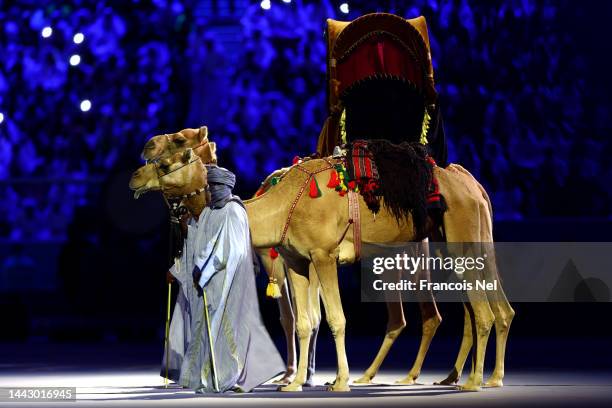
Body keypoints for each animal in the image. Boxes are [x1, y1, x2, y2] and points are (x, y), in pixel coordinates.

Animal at [130, 147, 516, 392]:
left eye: (165, 163)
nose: (134, 175)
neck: (281, 205)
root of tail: (472, 185)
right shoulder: (298, 261)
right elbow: (304, 323)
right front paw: (295, 384)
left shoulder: (324, 255)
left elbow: (335, 319)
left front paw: (339, 381)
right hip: (464, 239)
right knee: (498, 307)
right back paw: (491, 377)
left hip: (459, 238)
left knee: (478, 311)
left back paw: (471, 382)